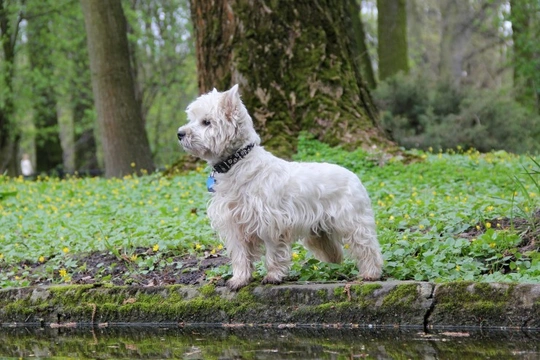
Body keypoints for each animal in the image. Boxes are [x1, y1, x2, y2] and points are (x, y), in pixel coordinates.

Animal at [178, 84, 384, 290]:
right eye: (192, 119)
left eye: (206, 122)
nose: (180, 133)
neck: (236, 164)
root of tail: (354, 175)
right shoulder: (234, 225)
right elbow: (240, 256)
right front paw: (239, 279)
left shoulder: (270, 223)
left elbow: (273, 253)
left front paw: (273, 276)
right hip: (319, 232)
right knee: (334, 250)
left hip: (352, 222)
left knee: (368, 247)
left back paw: (370, 274)